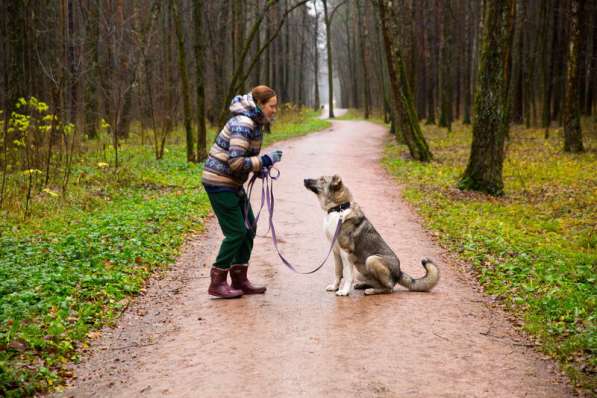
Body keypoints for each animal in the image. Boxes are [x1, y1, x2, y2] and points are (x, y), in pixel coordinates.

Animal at [302, 175, 438, 296]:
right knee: (377, 283)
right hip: (361, 270)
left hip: (372, 259)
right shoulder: (336, 252)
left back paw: (371, 291)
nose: (304, 179)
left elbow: (347, 275)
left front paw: (344, 291)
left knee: (389, 288)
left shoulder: (346, 253)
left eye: (322, 179)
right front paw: (335, 287)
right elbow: (338, 272)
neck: (338, 208)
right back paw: (363, 285)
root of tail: (399, 272)